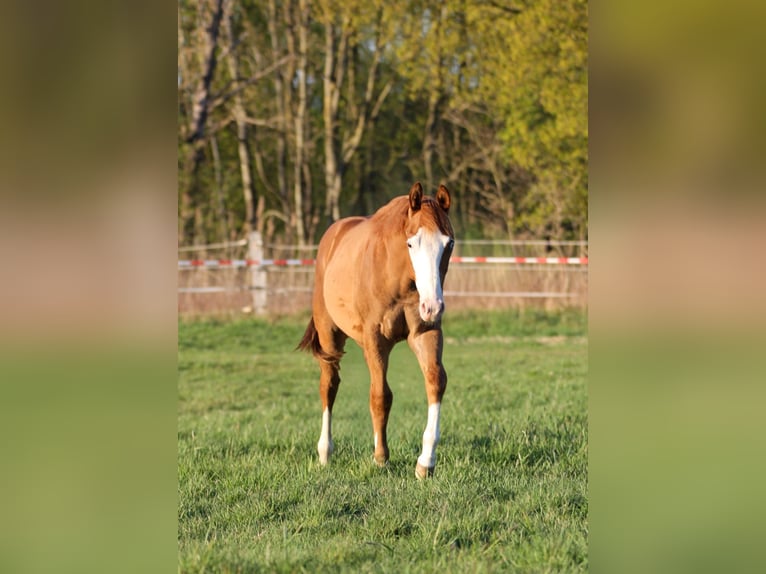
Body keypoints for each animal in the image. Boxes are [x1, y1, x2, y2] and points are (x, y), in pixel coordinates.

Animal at [297, 181, 455, 478]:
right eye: (411, 243)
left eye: (448, 243)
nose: (433, 305)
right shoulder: (375, 339)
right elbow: (380, 395)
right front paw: (381, 457)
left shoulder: (425, 333)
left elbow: (435, 381)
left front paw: (426, 462)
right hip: (329, 335)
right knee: (329, 385)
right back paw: (325, 452)